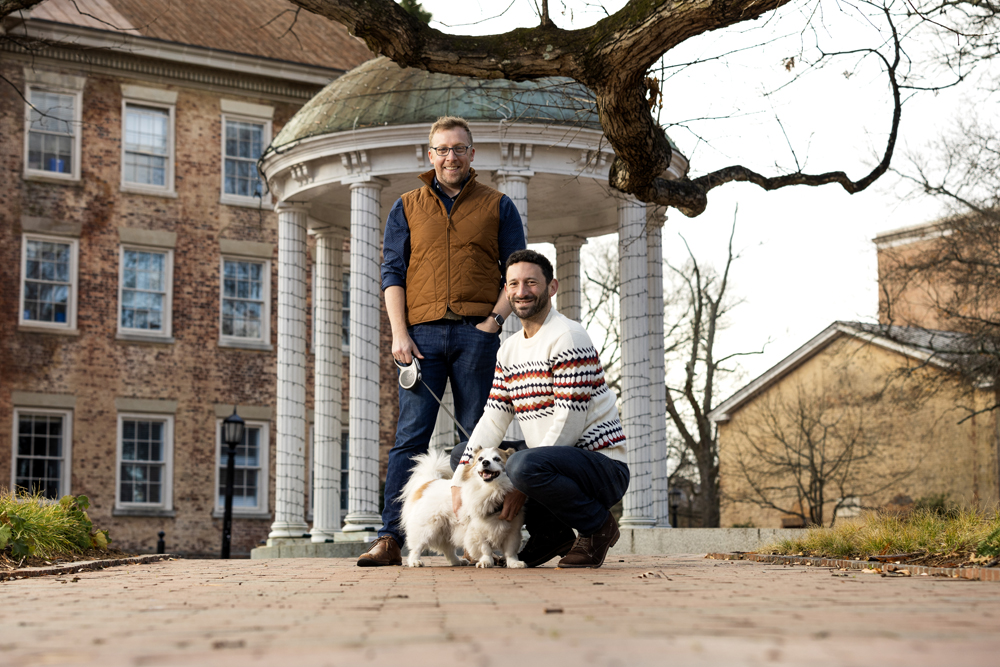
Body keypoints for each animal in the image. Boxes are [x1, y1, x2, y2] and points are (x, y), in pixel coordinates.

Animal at [398, 444, 528, 568]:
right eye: (480, 459)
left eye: (496, 459)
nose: (485, 462)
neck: (491, 490)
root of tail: (429, 482)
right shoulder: (477, 531)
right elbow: (485, 549)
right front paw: (486, 562)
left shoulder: (513, 531)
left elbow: (510, 551)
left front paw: (514, 563)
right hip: (428, 528)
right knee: (416, 547)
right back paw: (415, 561)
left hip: (448, 530)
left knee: (448, 549)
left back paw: (457, 561)